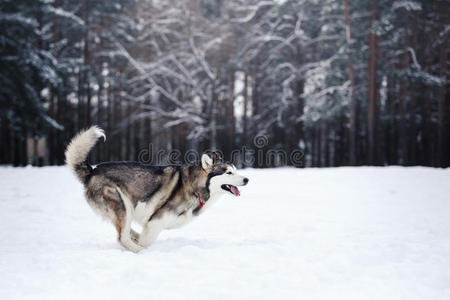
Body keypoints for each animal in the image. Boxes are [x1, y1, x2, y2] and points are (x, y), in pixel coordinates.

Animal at [65, 125, 250, 252]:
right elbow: (147, 240)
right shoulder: (155, 221)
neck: (195, 187)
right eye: (229, 172)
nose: (247, 179)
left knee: (125, 232)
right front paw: (144, 248)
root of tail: (92, 171)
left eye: (235, 170)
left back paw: (134, 238)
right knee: (122, 238)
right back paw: (139, 251)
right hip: (122, 205)